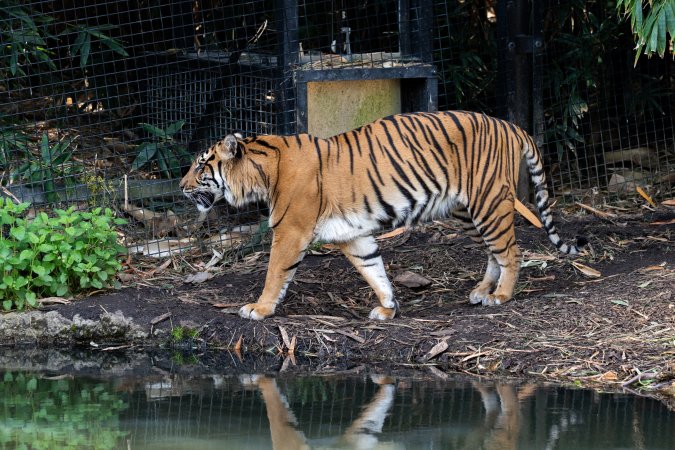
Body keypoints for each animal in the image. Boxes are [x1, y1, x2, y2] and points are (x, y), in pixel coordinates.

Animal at [180, 111, 587, 321]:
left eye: (200, 165)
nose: (181, 187)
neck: (262, 172)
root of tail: (512, 125)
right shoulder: (353, 235)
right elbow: (373, 270)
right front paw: (388, 307)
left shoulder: (290, 231)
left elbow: (274, 273)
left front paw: (259, 309)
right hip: (466, 212)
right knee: (493, 252)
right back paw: (481, 291)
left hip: (489, 202)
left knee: (511, 252)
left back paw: (500, 296)